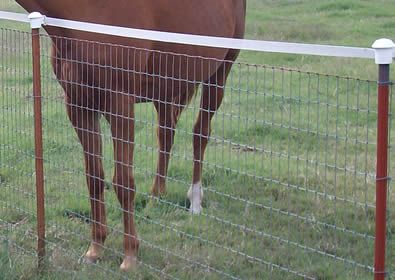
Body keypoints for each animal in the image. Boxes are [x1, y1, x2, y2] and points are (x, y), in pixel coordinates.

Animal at [17, 0, 246, 272]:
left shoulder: (120, 104)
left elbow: (123, 183)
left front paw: (130, 255)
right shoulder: (78, 106)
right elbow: (94, 177)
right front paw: (96, 248)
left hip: (219, 75)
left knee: (200, 134)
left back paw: (196, 201)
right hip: (165, 89)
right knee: (166, 134)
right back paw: (157, 196)